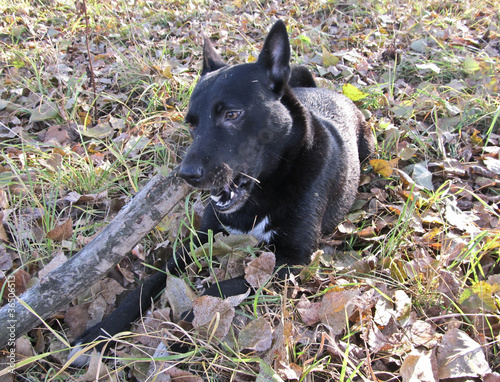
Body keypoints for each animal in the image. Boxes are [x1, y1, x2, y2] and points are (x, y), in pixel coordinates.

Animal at [71, 19, 376, 366]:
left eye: (231, 114)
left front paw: (183, 328)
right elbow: (149, 281)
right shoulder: (200, 237)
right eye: (192, 123)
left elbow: (217, 290)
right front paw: (100, 334)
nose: (187, 175)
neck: (265, 190)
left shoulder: (293, 261)